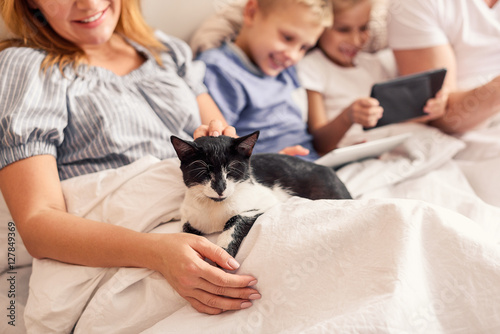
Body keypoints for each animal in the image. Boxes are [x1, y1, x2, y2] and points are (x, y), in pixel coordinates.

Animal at [172, 132, 352, 258]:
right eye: (203, 172)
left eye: (231, 170)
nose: (220, 188)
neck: (215, 206)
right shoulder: (188, 214)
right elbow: (186, 233)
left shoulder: (268, 201)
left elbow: (237, 217)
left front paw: (224, 249)